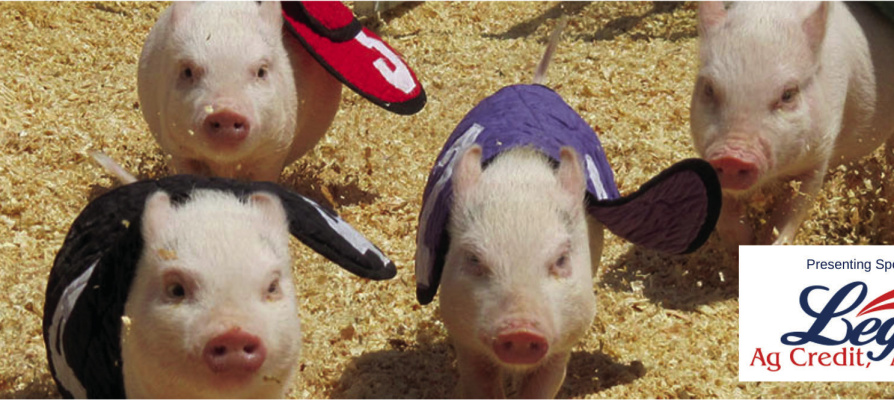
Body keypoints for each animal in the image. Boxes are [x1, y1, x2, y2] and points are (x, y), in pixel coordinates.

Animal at [138, 1, 342, 181]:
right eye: (187, 71)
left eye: (261, 71)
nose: (226, 111)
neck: (225, 165)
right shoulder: (176, 148)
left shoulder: (274, 150)